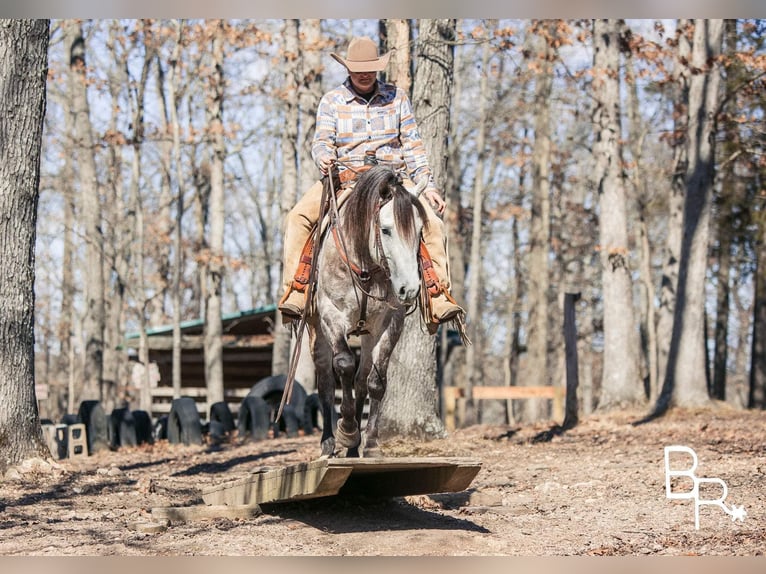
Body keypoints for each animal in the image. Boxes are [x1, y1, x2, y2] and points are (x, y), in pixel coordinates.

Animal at [312, 165, 432, 460]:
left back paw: (353, 449)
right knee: (326, 382)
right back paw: (329, 444)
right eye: (386, 230)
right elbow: (343, 364)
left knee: (361, 381)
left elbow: (376, 381)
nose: (409, 289)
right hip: (316, 331)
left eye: (420, 230)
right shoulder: (331, 316)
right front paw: (347, 431)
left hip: (366, 333)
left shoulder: (390, 322)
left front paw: (370, 445)